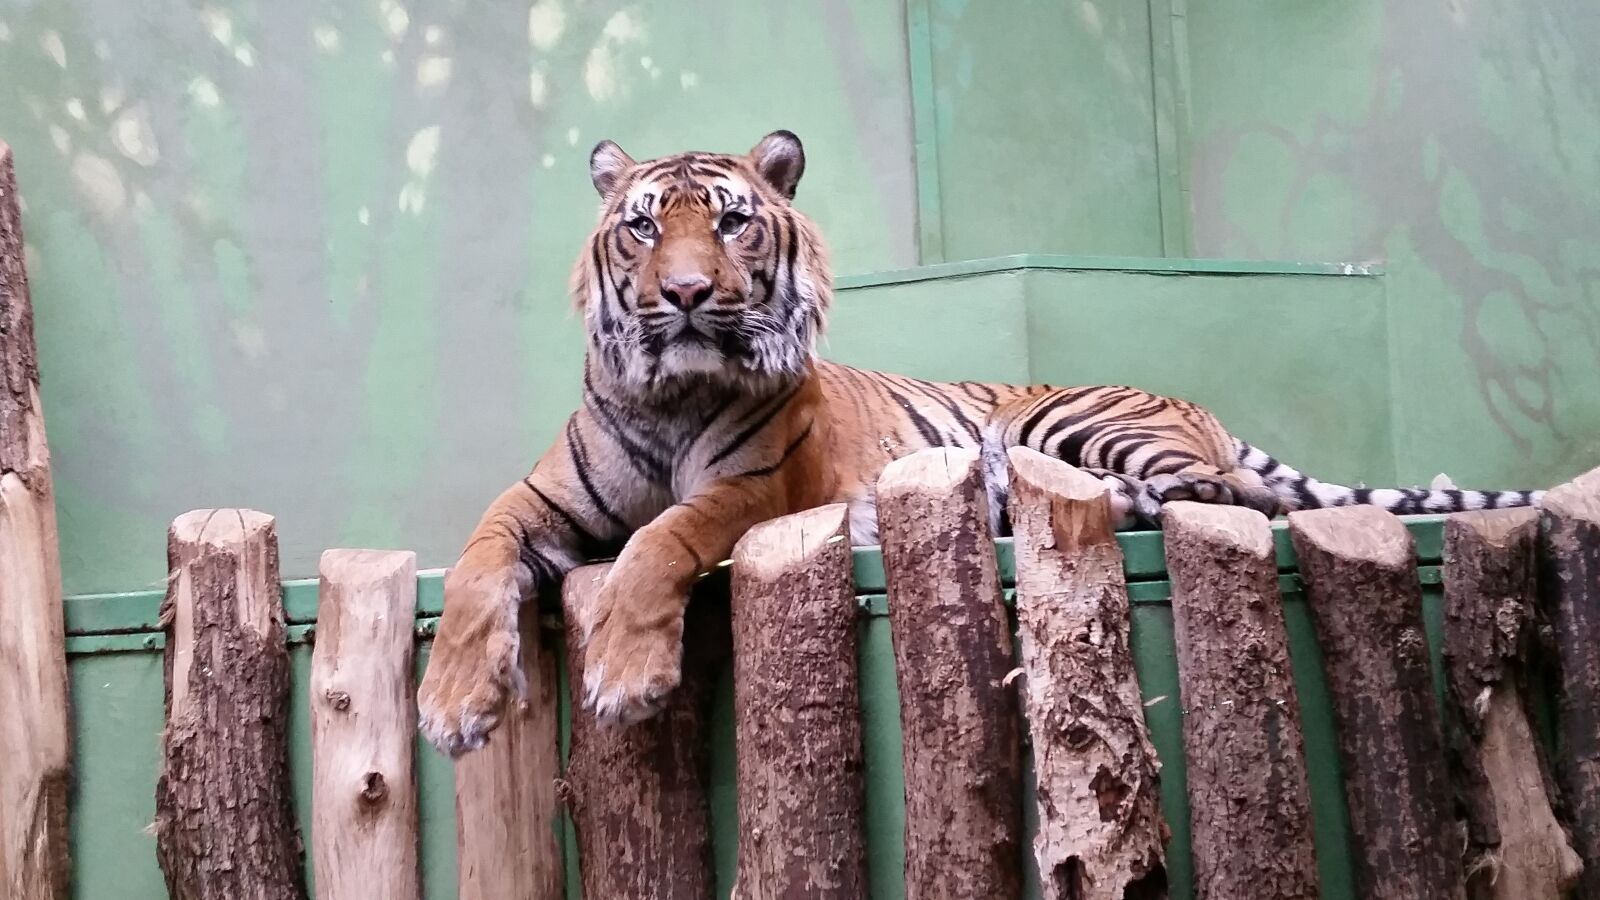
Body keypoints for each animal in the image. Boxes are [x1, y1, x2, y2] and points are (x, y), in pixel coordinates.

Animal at [416, 130, 1544, 756]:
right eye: (644, 227)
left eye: (732, 223)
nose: (687, 295)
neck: (673, 393)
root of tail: (1198, 405)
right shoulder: (536, 503)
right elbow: (472, 567)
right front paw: (452, 704)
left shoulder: (760, 491)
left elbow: (659, 541)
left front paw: (623, 675)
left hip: (1062, 422)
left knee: (1235, 499)